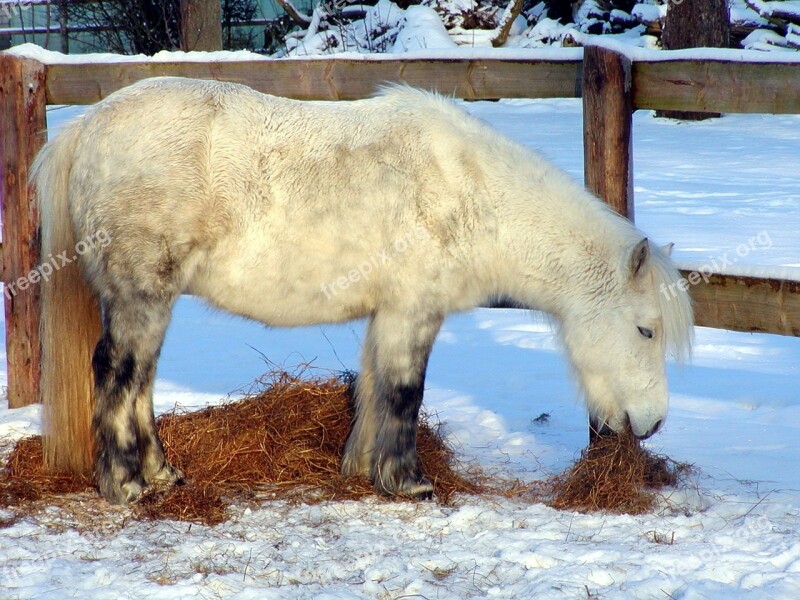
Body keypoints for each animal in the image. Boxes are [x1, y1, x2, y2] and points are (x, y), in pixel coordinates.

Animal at [34, 78, 692, 502]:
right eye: (645, 329)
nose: (654, 422)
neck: (472, 195)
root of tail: (89, 124)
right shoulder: (414, 312)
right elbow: (404, 392)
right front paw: (410, 482)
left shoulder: (390, 315)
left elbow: (375, 387)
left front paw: (363, 470)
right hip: (140, 296)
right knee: (118, 375)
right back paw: (127, 485)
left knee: (140, 382)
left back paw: (163, 475)